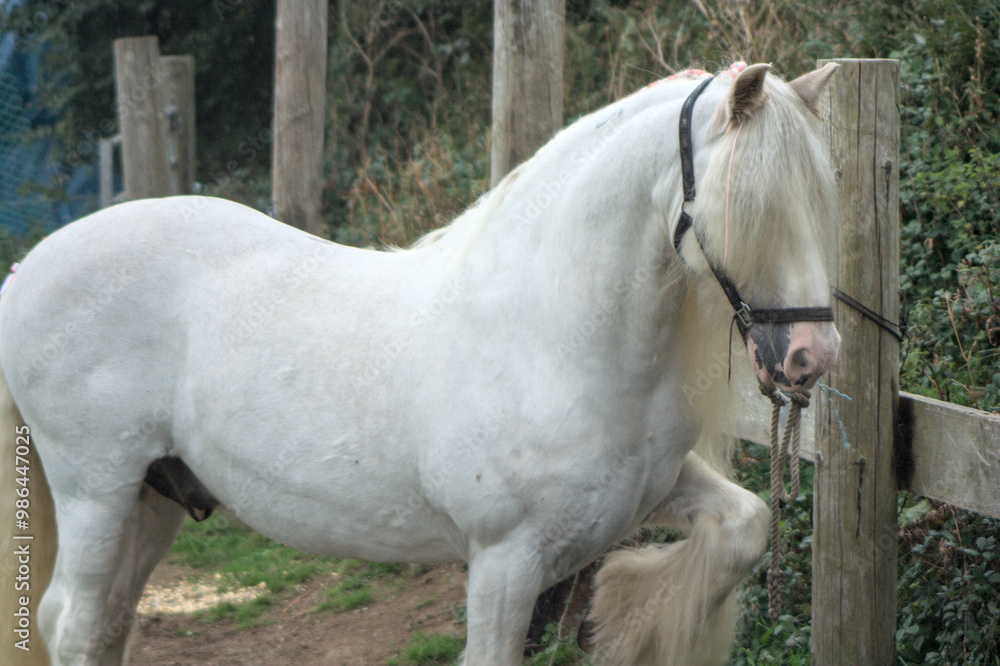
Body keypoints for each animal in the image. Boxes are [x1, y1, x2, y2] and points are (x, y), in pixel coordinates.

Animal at [0, 61, 841, 665]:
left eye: (818, 198)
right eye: (752, 204)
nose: (811, 355)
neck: (550, 336)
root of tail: (27, 270)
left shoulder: (653, 491)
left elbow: (746, 526)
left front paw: (628, 617)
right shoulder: (504, 562)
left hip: (154, 495)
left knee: (106, 624)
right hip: (96, 489)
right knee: (72, 624)